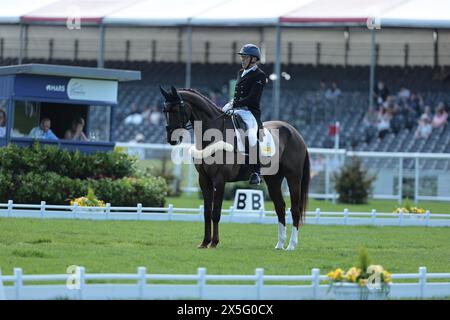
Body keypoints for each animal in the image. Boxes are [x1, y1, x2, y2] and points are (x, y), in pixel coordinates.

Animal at [158, 87, 310, 250]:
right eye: (164, 110)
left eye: (177, 109)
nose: (171, 138)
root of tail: (296, 133)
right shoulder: (204, 180)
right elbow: (206, 212)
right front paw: (204, 242)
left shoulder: (219, 180)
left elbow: (215, 212)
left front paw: (214, 242)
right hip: (273, 180)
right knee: (280, 207)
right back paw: (280, 244)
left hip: (293, 178)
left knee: (295, 209)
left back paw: (291, 245)